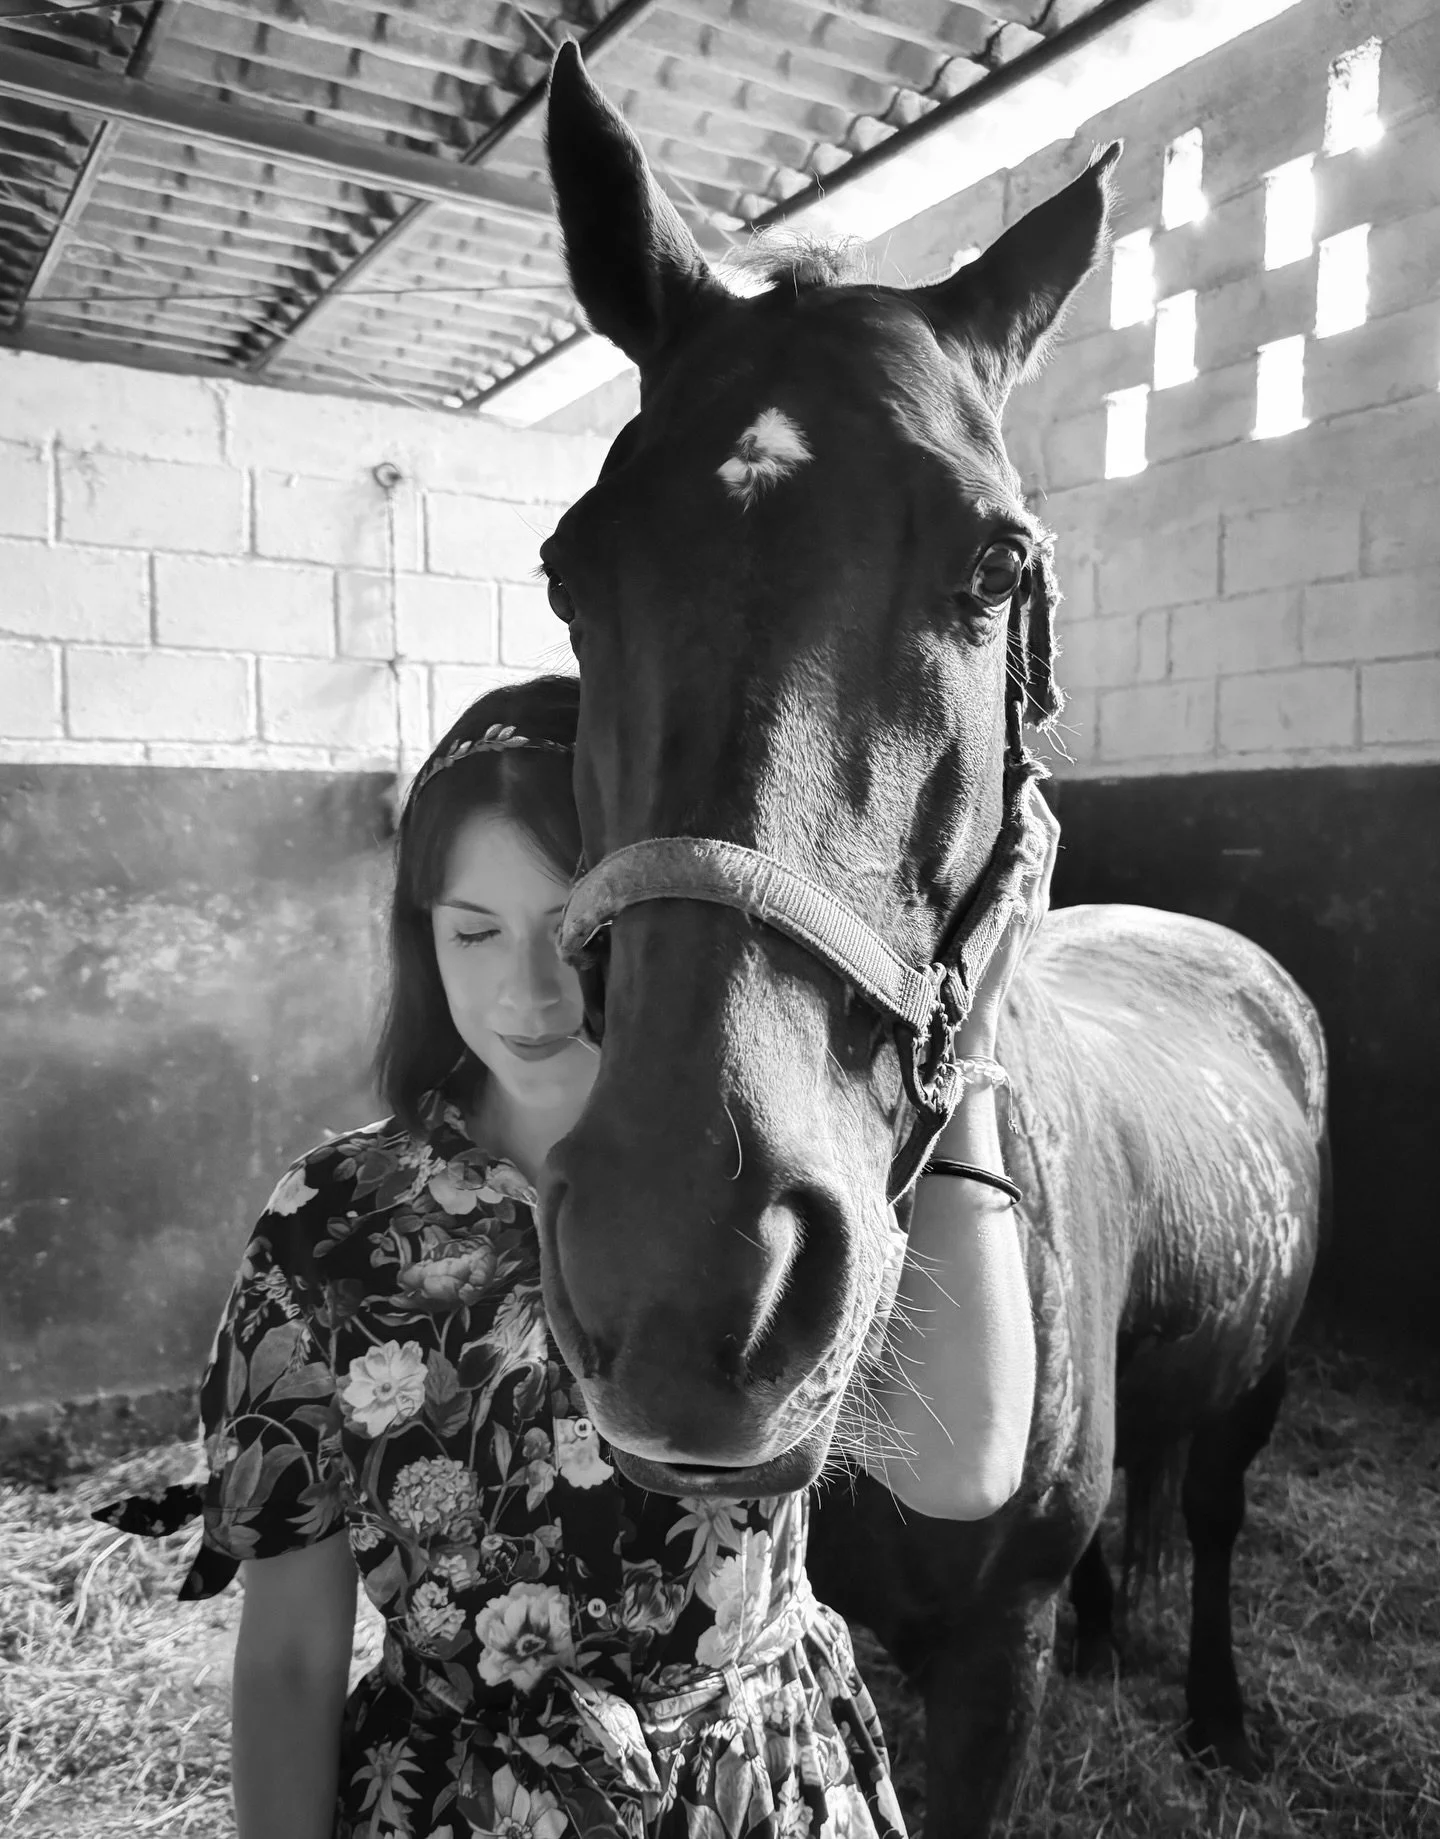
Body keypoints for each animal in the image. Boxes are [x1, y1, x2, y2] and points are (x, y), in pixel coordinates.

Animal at [532, 45, 1328, 1837]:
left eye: (999, 561)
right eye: (566, 570)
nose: (690, 1279)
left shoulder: (985, 1665)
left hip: (1253, 1383)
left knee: (1216, 1518)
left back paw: (1219, 1704)